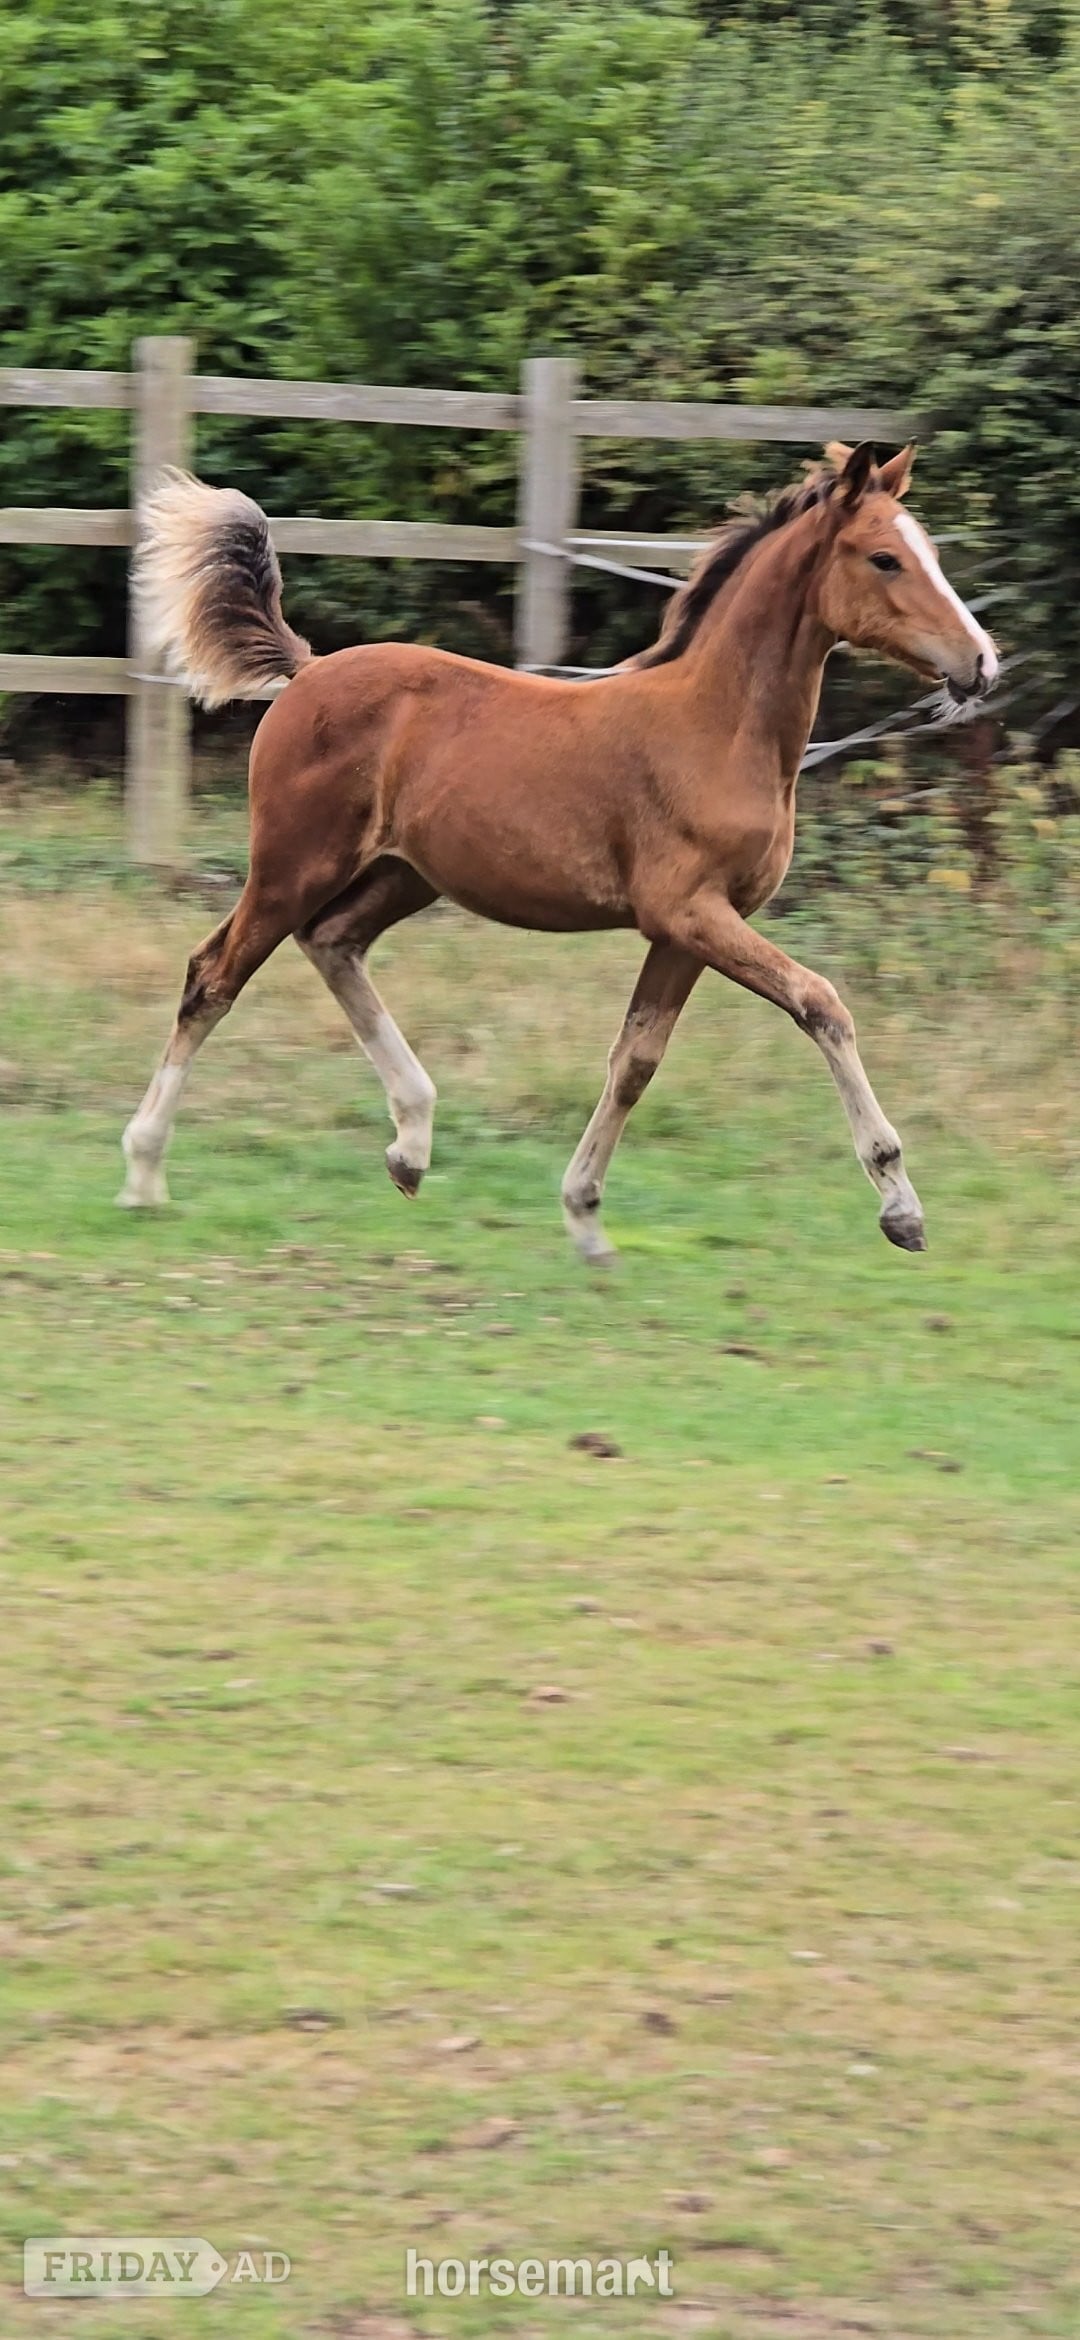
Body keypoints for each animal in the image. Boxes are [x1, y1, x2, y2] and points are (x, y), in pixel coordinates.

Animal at [119, 439, 997, 1259]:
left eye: (930, 550)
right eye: (884, 558)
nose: (981, 663)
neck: (717, 728)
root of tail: (308, 671)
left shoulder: (685, 932)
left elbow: (636, 1059)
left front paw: (584, 1218)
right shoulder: (689, 912)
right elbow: (821, 1003)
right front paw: (900, 1205)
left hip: (405, 875)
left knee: (332, 943)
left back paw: (411, 1145)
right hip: (294, 864)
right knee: (214, 976)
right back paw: (144, 1173)